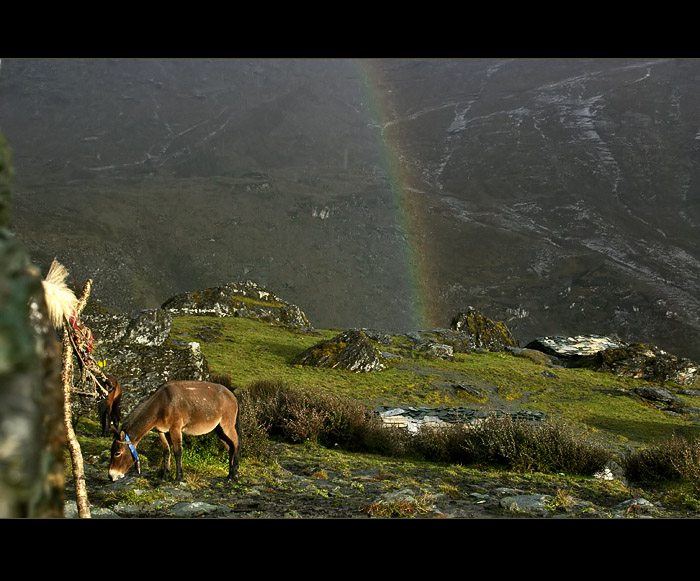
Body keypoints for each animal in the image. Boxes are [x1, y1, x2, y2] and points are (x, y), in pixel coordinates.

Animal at [108, 378, 241, 482]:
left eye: (117, 453)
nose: (110, 476)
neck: (161, 404)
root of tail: (232, 395)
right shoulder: (162, 431)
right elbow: (166, 452)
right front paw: (165, 476)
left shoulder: (175, 429)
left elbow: (178, 452)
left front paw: (179, 478)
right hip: (219, 430)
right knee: (230, 447)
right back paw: (229, 474)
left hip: (227, 426)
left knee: (236, 444)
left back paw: (234, 474)